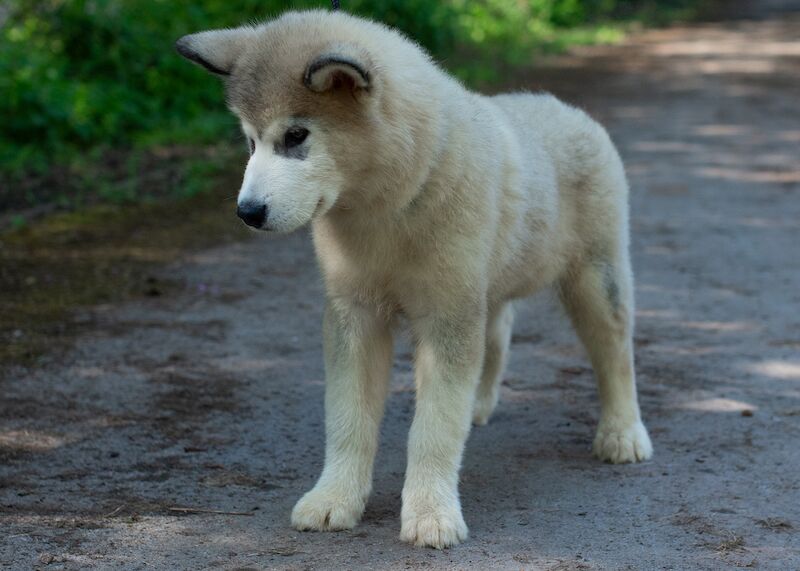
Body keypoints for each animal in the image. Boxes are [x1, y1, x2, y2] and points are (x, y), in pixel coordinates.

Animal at [175, 10, 648, 548]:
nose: (248, 212)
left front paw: (431, 515)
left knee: (615, 353)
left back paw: (622, 433)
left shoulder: (447, 317)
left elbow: (434, 429)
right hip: (488, 285)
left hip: (594, 278)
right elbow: (348, 419)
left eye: (296, 136)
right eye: (251, 142)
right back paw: (480, 403)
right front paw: (334, 498)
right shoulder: (354, 315)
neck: (390, 207)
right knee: (499, 333)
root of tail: (562, 107)